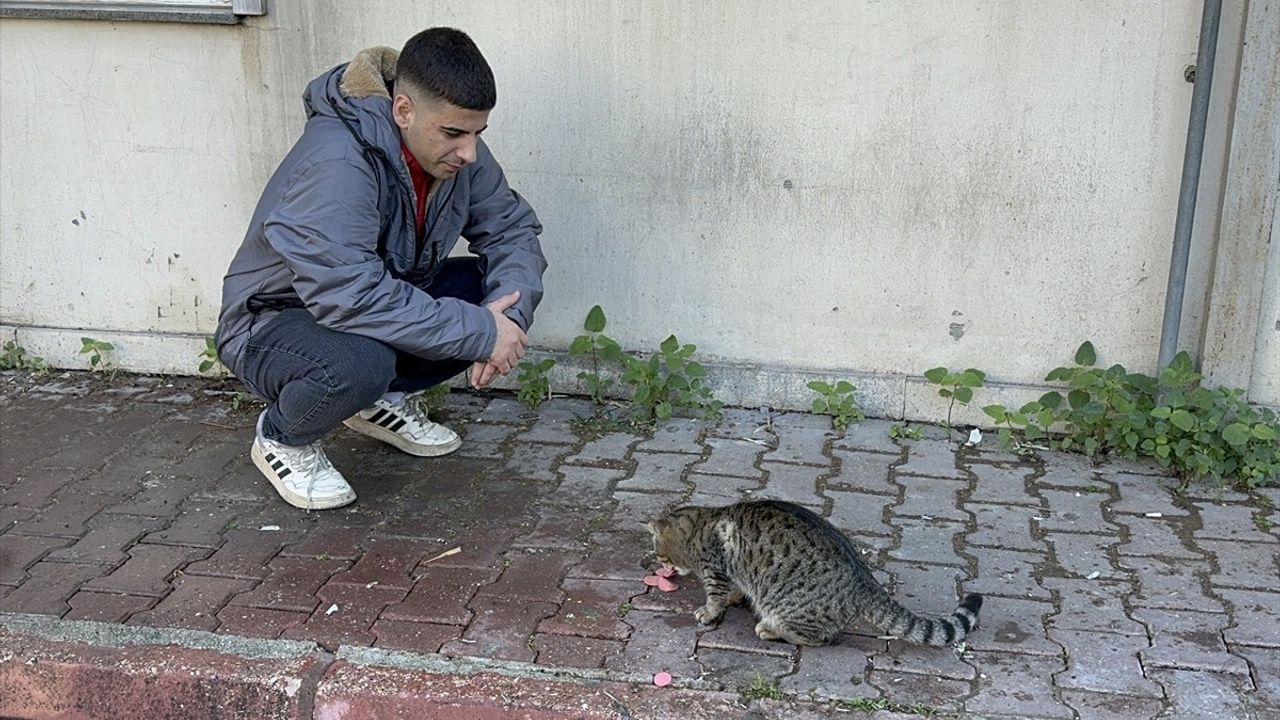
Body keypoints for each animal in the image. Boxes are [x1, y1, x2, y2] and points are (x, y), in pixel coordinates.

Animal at [645, 499, 983, 645]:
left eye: (660, 554)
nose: (660, 565)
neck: (702, 525)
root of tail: (864, 582)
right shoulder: (733, 573)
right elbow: (736, 588)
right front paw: (734, 598)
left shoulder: (715, 569)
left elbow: (715, 596)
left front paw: (709, 611)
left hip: (785, 605)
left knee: (817, 638)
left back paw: (770, 630)